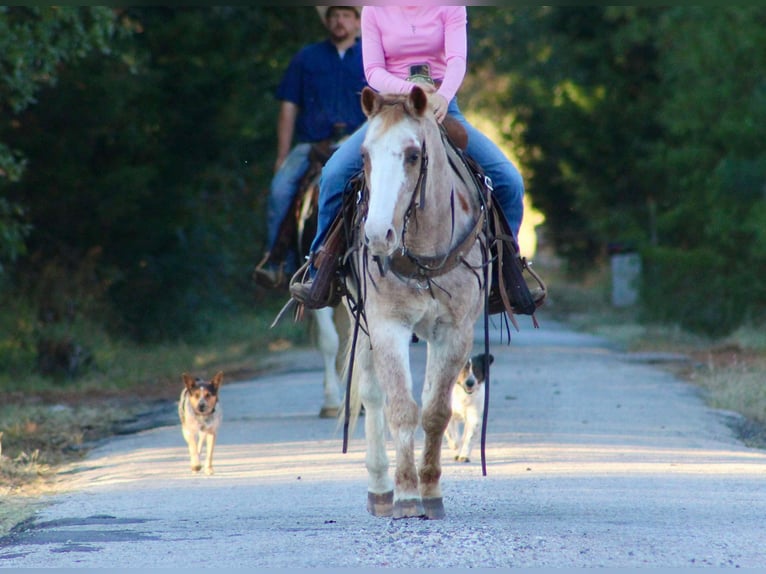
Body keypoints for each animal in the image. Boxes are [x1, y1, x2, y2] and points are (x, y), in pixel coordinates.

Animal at [344, 86, 488, 520]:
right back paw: (379, 488)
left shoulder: (454, 333)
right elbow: (400, 408)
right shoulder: (387, 326)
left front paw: (430, 491)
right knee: (372, 396)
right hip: (361, 326)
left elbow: (436, 412)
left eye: (412, 155)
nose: (377, 236)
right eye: (364, 154)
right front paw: (406, 495)